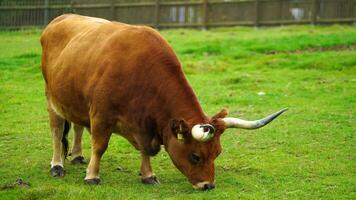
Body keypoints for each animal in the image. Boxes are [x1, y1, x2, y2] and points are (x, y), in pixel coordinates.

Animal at [41, 14, 286, 191]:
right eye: (195, 156)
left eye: (217, 153)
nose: (208, 185)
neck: (140, 72)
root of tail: (59, 19)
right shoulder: (101, 116)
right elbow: (100, 146)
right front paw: (92, 176)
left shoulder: (144, 124)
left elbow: (146, 150)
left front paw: (149, 175)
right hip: (52, 100)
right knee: (56, 131)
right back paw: (57, 165)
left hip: (74, 101)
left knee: (77, 126)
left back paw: (77, 156)